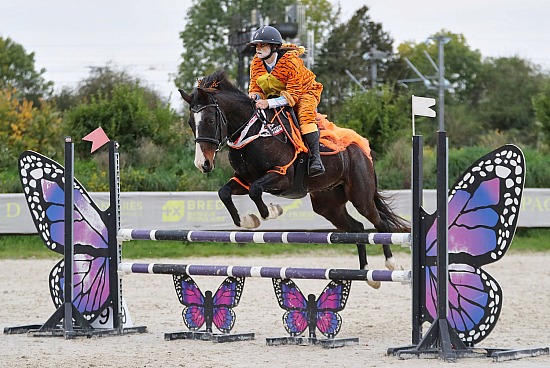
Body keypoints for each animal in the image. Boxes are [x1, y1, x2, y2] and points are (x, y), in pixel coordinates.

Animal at [179, 69, 412, 288]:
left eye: (210, 120)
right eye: (191, 122)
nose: (203, 164)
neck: (253, 131)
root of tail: (363, 150)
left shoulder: (283, 177)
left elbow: (256, 190)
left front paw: (272, 211)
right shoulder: (243, 180)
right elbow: (225, 193)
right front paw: (249, 220)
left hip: (361, 196)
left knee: (379, 223)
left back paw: (392, 265)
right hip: (328, 206)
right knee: (358, 229)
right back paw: (367, 273)